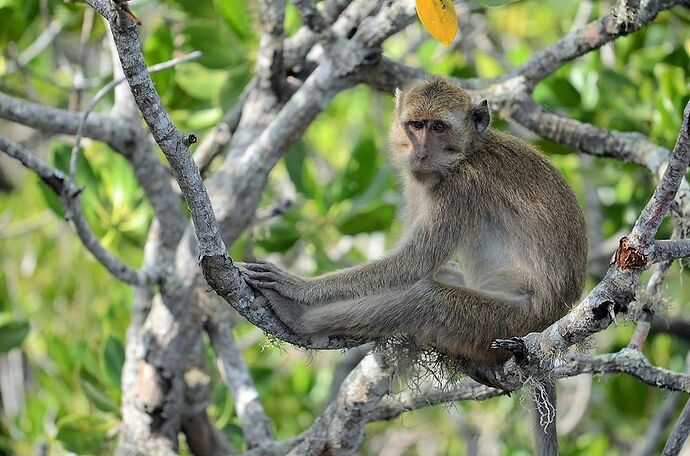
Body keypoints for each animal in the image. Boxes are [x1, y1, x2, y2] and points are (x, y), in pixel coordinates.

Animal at [238, 76, 584, 454]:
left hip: (509, 322)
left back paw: (298, 318)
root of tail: (554, 316)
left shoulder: (461, 186)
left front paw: (298, 288)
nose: (420, 151)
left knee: (426, 298)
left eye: (438, 127)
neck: (467, 153)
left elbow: (413, 263)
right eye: (415, 125)